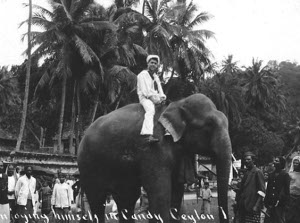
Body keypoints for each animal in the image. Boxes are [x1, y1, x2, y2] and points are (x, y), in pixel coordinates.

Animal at [77, 93, 232, 223]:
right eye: (208, 126)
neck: (178, 103)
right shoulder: (154, 148)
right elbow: (160, 192)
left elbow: (176, 190)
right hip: (87, 164)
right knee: (97, 198)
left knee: (127, 197)